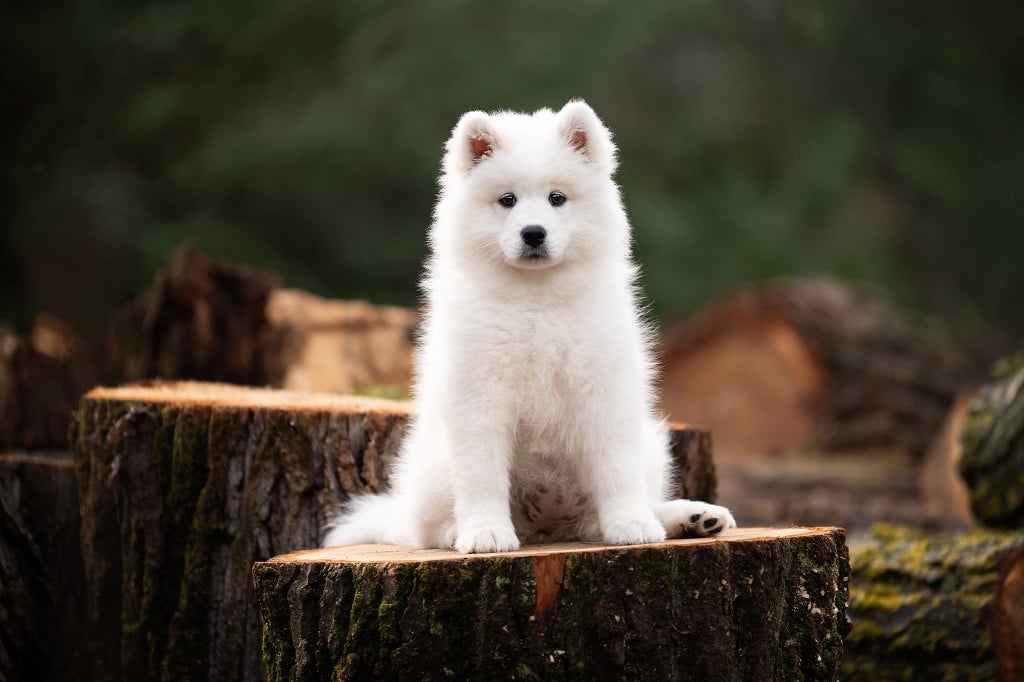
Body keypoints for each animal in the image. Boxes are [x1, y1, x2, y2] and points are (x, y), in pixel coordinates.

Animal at [323, 99, 733, 552]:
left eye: (557, 198)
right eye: (507, 200)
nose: (533, 233)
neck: (536, 299)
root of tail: (551, 523)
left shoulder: (605, 390)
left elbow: (617, 468)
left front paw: (632, 524)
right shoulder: (480, 395)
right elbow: (482, 475)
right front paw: (486, 532)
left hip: (650, 446)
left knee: (602, 514)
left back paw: (691, 517)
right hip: (432, 465)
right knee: (425, 528)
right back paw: (457, 532)